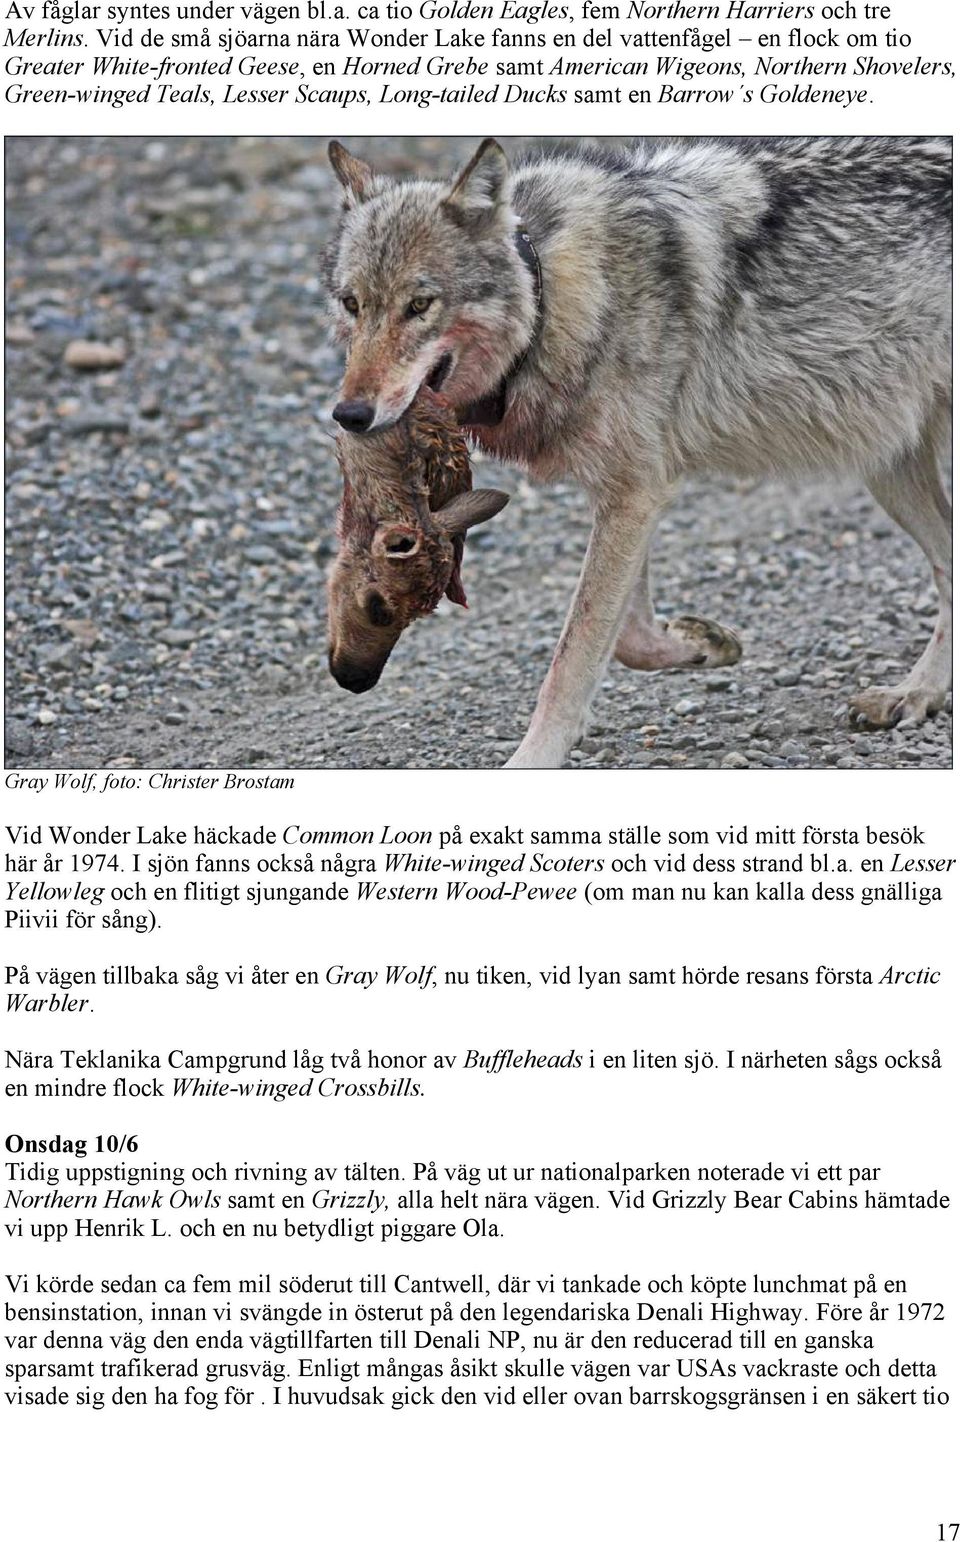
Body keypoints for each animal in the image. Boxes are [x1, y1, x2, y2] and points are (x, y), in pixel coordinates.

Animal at [328, 140, 955, 771]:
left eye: (420, 305)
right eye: (353, 304)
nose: (349, 415)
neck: (549, 297)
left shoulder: (635, 492)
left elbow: (573, 655)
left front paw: (533, 759)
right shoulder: (628, 492)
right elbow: (626, 635)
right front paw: (701, 645)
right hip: (889, 472)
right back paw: (916, 694)